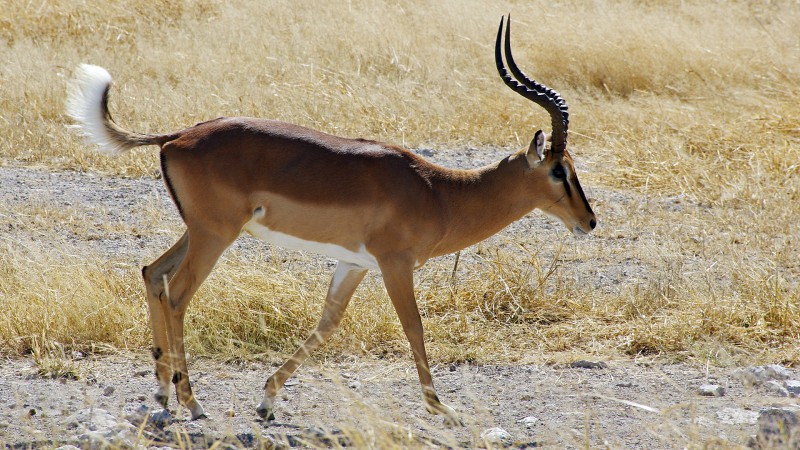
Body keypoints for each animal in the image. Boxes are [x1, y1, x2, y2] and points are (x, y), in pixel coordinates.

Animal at [67, 14, 592, 426]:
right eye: (559, 170)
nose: (589, 221)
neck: (438, 193)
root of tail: (176, 137)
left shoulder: (354, 264)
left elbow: (327, 324)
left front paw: (266, 401)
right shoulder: (395, 264)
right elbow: (414, 327)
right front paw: (444, 409)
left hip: (199, 232)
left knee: (151, 273)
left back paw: (161, 395)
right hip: (214, 237)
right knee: (176, 295)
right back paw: (192, 403)